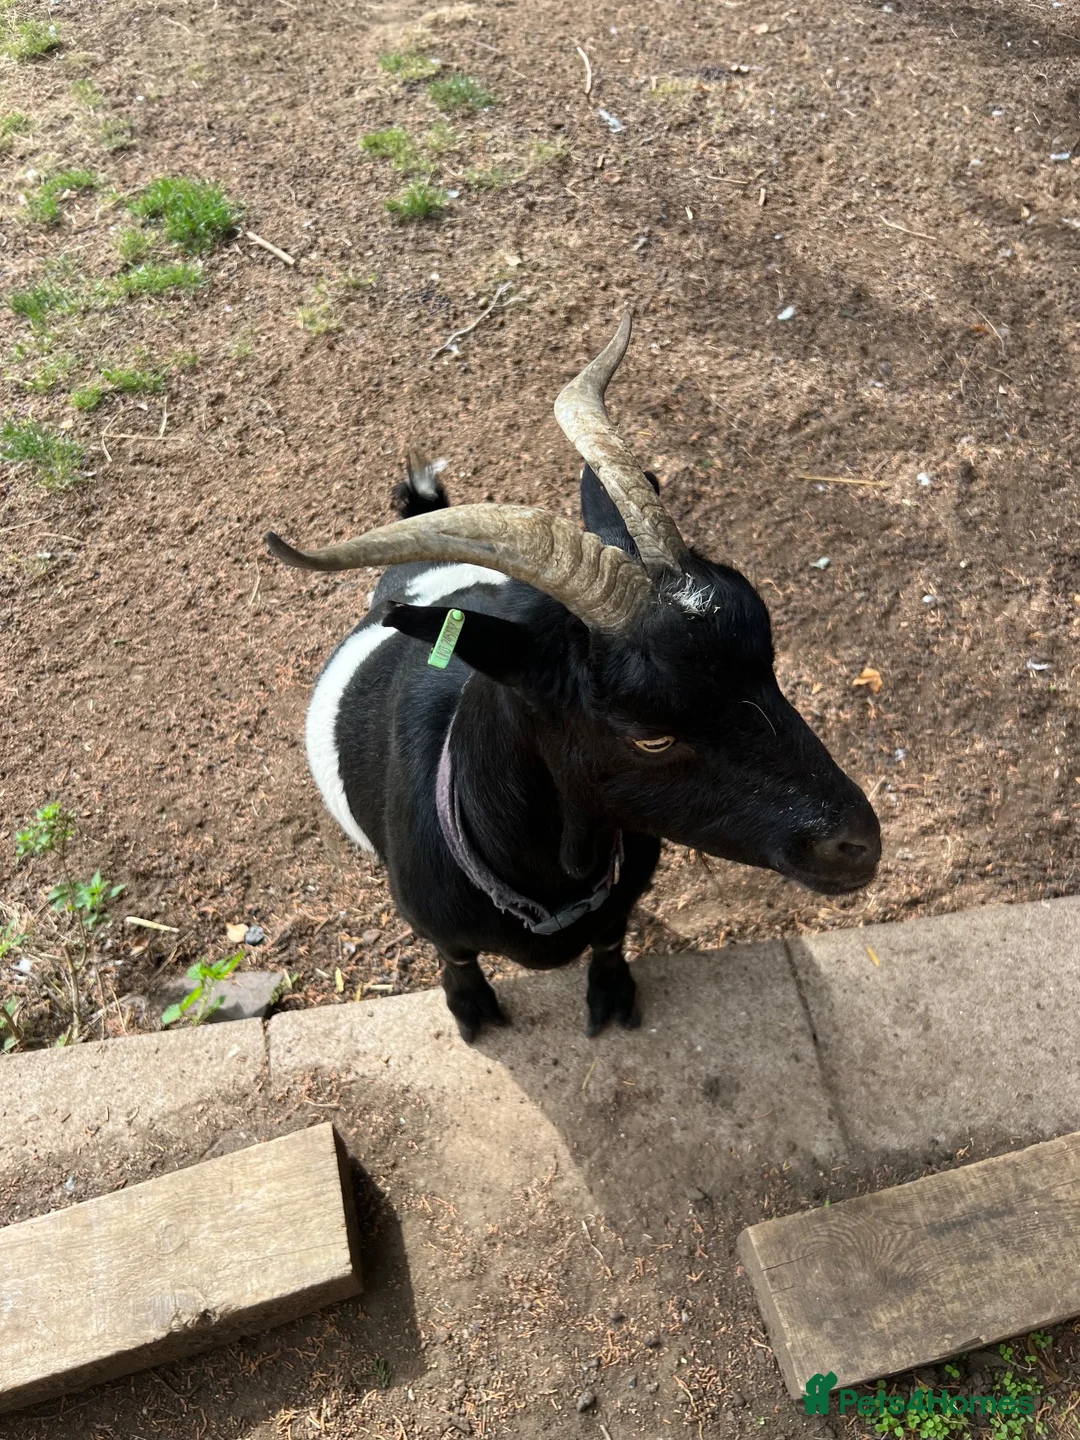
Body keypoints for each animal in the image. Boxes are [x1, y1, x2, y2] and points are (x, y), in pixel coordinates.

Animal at [267, 314, 881, 1040]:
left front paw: (612, 995)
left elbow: (612, 936)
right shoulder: (437, 926)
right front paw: (471, 1010)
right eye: (649, 735)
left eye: (769, 661)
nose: (858, 843)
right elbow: (456, 956)